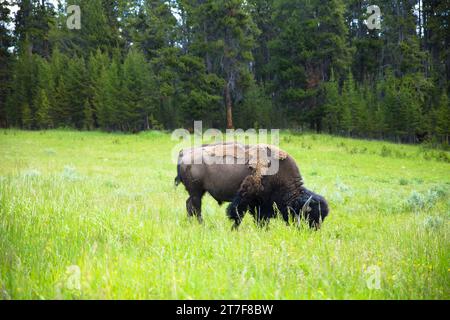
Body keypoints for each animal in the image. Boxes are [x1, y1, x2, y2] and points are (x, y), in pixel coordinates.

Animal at [174, 143, 328, 230]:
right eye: (309, 216)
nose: (314, 230)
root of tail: (184, 153)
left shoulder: (260, 204)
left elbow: (259, 218)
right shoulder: (247, 198)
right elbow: (238, 214)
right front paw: (234, 229)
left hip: (197, 192)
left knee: (190, 205)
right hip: (196, 192)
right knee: (196, 207)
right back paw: (201, 225)